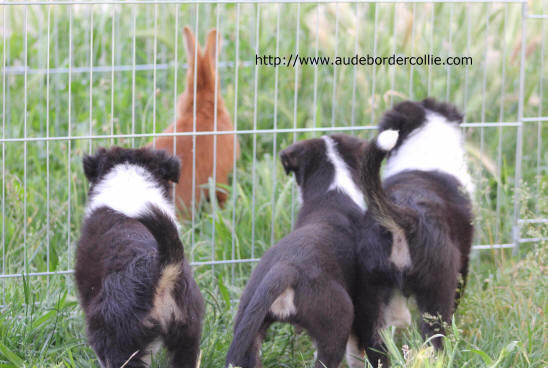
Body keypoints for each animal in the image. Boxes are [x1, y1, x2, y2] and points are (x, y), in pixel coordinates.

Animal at [354, 99, 474, 366]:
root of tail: (406, 215)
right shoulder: (463, 263)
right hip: (437, 287)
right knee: (434, 338)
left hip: (369, 291)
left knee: (376, 345)